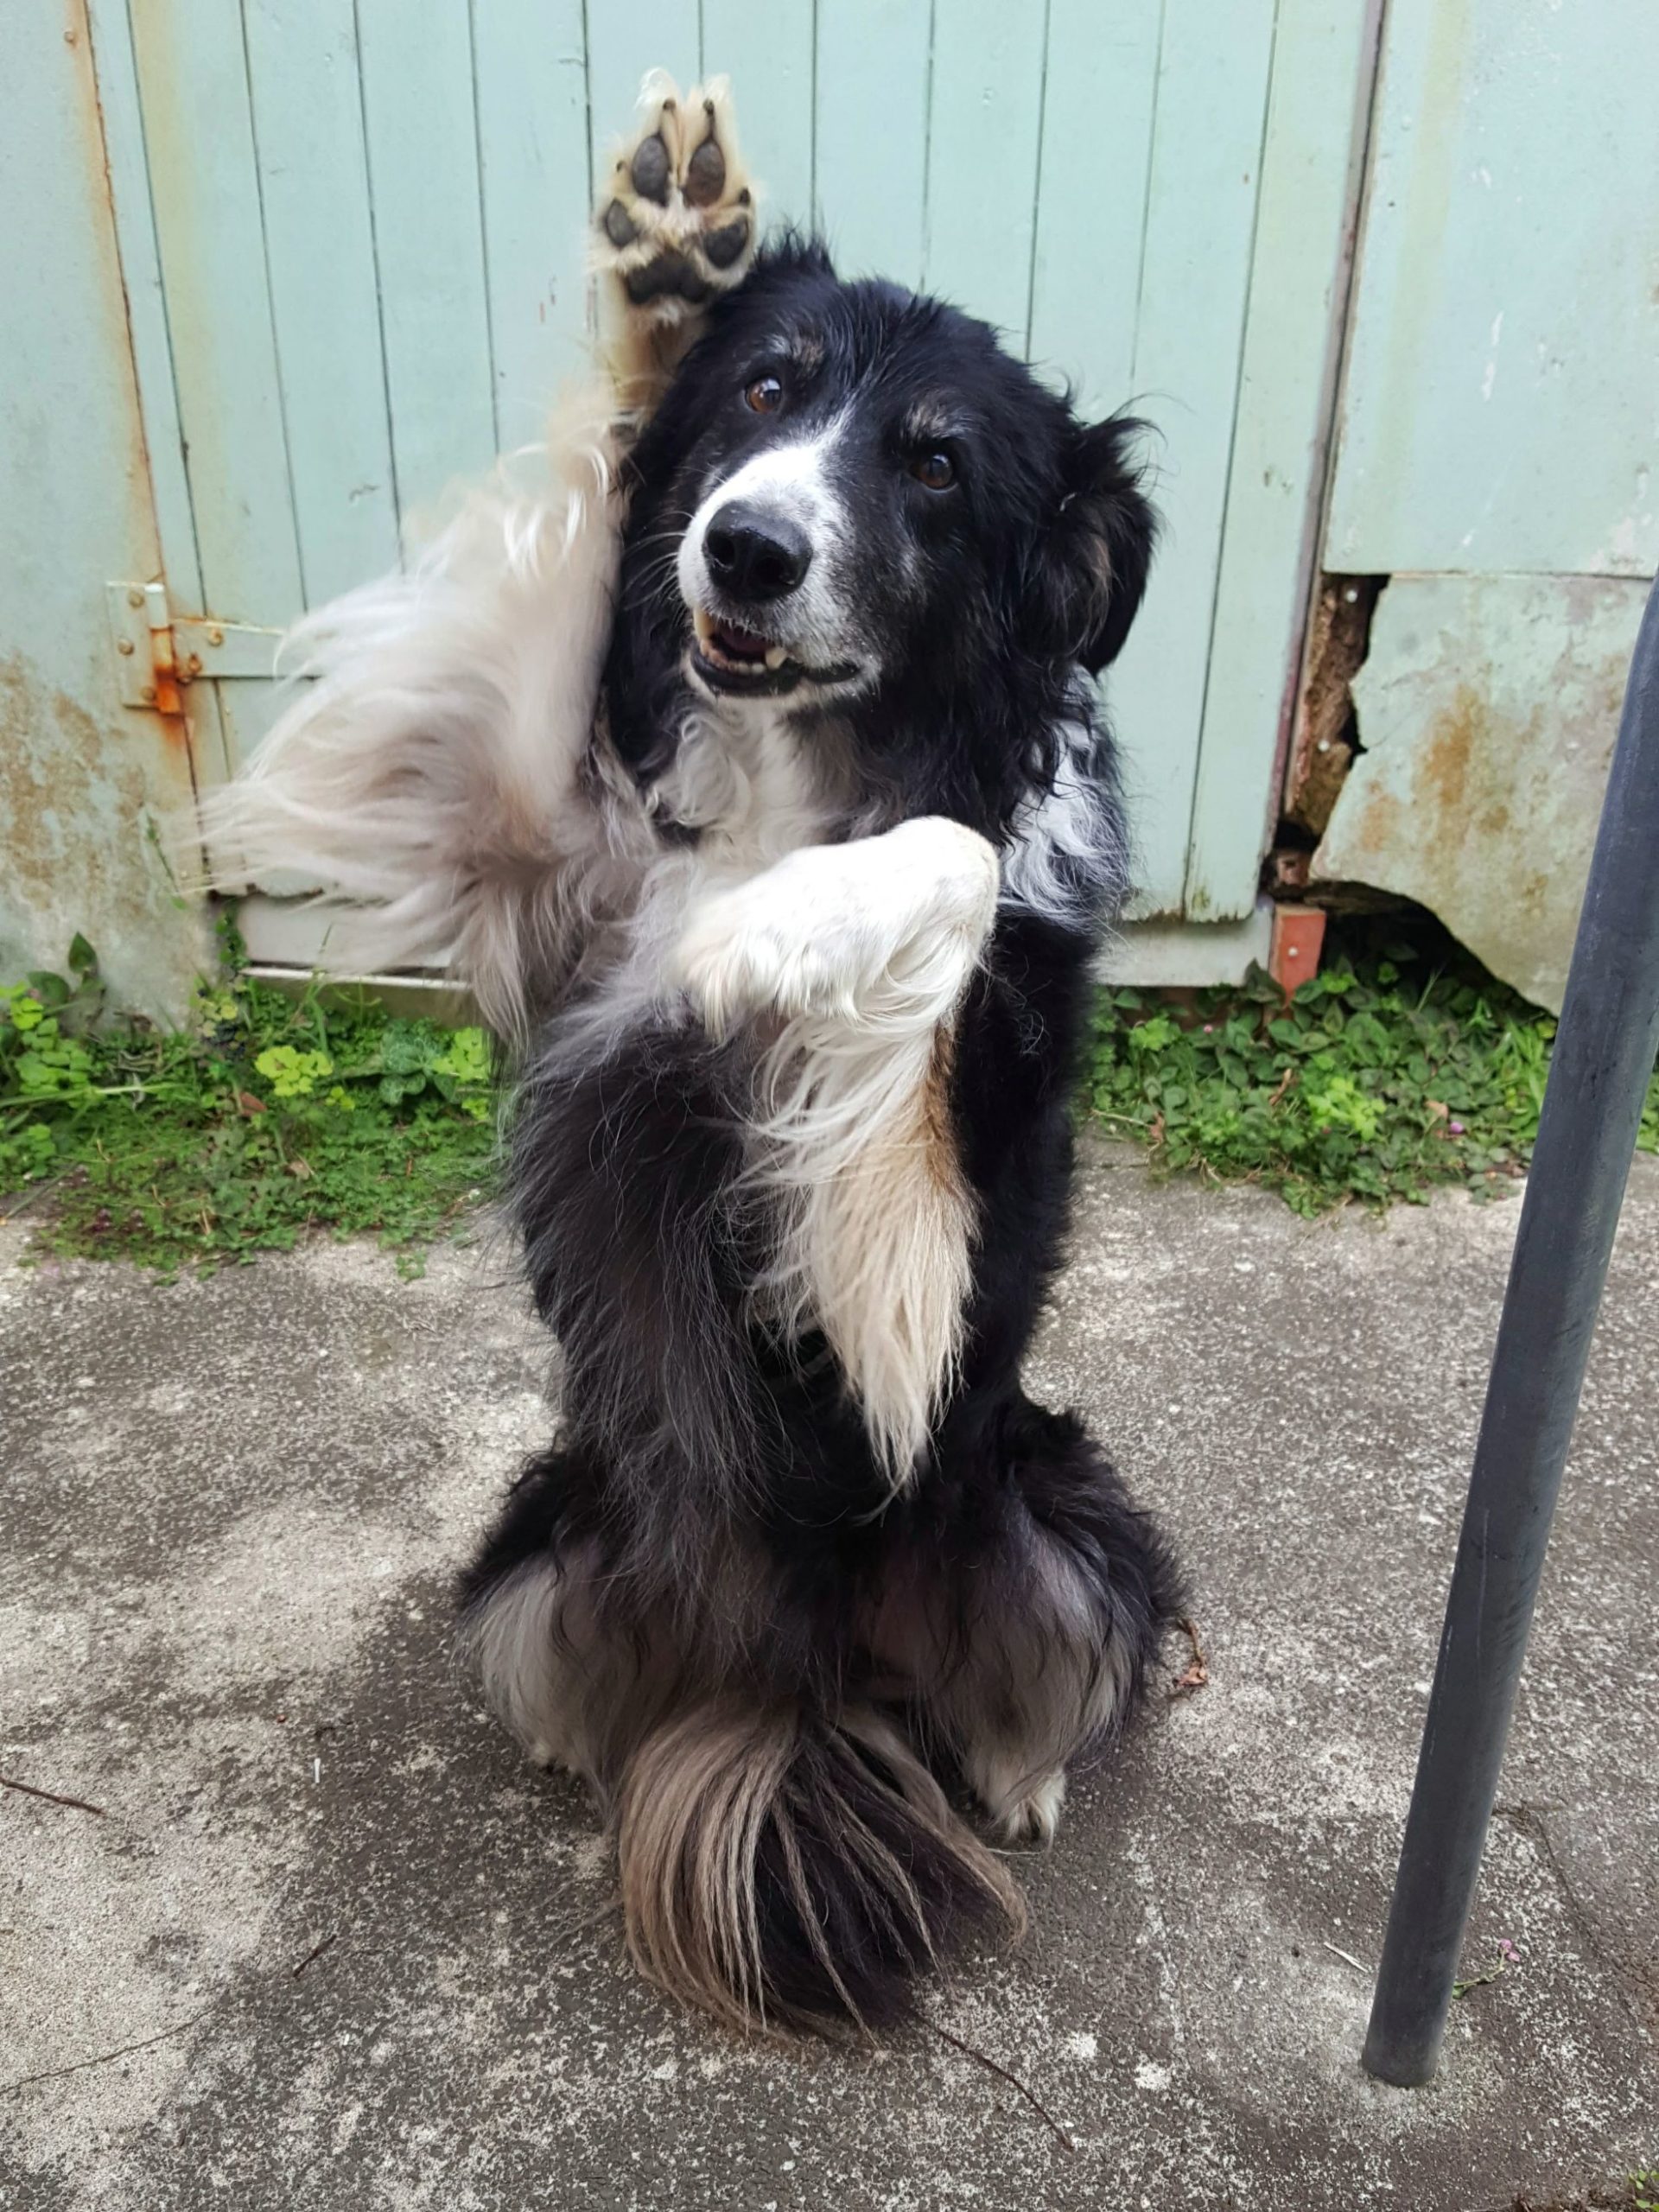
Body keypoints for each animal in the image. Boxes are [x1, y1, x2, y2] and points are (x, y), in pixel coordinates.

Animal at [207, 73, 1185, 2035]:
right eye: (764, 393)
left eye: (938, 465)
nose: (744, 545)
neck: (810, 762)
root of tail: (793, 1662)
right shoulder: (531, 850)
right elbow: (556, 595)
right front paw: (669, 259)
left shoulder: (918, 1269)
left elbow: (958, 859)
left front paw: (767, 936)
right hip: (544, 1519)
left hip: (1058, 1497)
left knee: (1061, 1657)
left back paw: (1016, 1774)